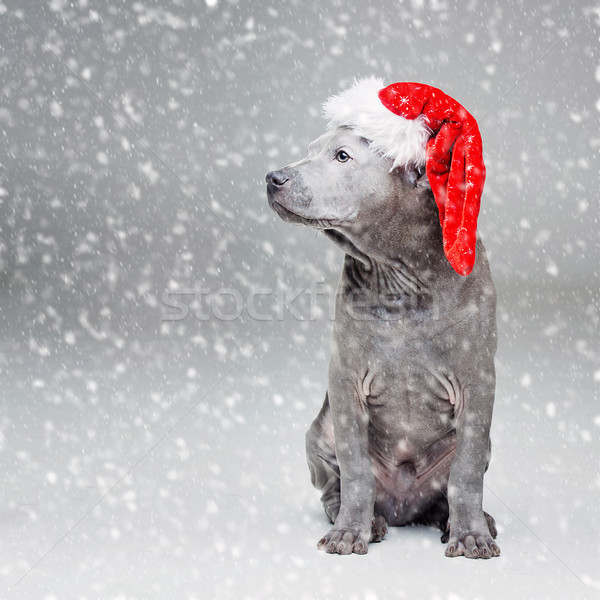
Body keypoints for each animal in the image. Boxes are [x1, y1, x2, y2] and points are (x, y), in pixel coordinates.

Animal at [264, 122, 500, 556]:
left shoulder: (478, 383)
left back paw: (457, 519)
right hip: (319, 433)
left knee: (448, 488)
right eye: (310, 150)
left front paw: (471, 534)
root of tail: (404, 508)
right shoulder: (344, 380)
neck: (398, 273)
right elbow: (356, 470)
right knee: (334, 487)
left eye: (342, 156)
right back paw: (368, 520)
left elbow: (467, 472)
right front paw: (349, 532)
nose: (273, 178)